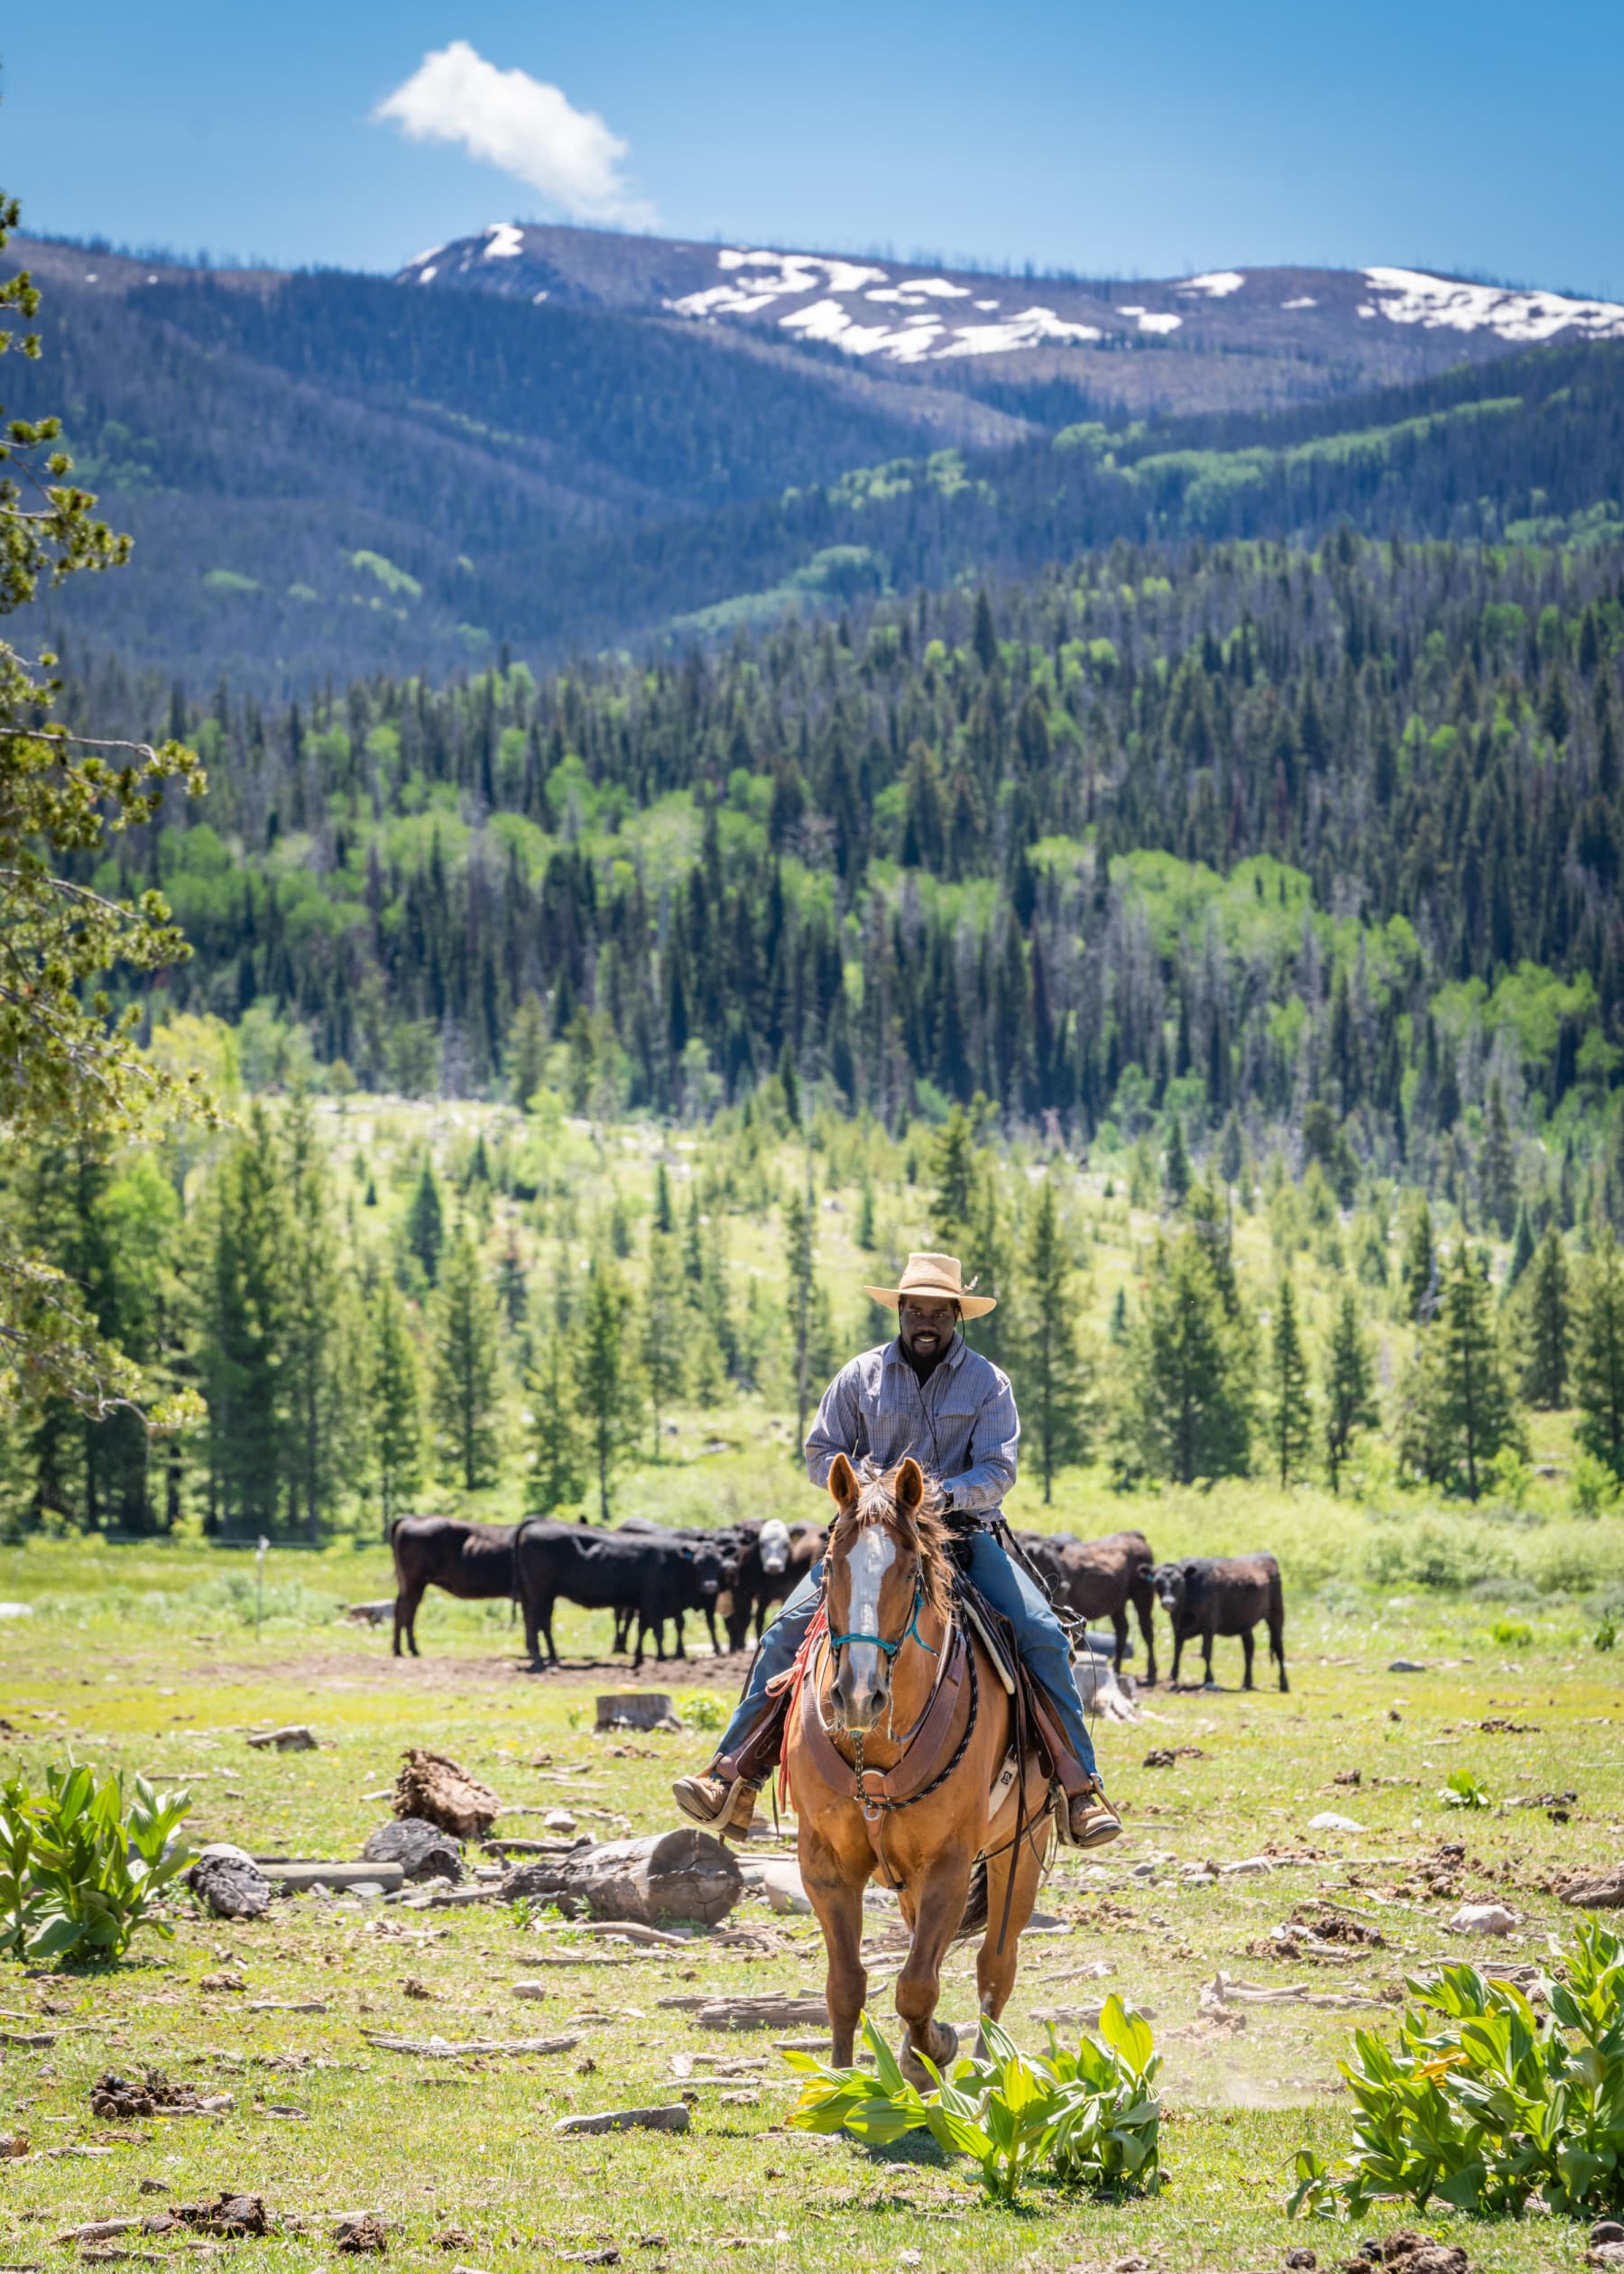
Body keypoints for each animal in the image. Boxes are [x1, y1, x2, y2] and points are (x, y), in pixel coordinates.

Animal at [389, 1516, 519, 1657]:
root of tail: (411, 1518)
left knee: (404, 1610)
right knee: (406, 1611)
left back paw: (402, 1649)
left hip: (409, 1584)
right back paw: (408, 1650)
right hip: (415, 1583)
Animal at [514, 1520, 733, 1671]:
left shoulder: (645, 1604)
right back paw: (540, 1660)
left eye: (718, 1562)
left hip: (539, 1594)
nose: (710, 1586)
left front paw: (639, 1657)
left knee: (539, 1623)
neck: (674, 1560)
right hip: (541, 1593)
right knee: (535, 1622)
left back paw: (552, 1657)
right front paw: (661, 1657)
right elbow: (658, 1630)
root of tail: (534, 1524)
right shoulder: (654, 1601)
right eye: (698, 1563)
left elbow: (642, 1629)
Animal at [1018, 1529, 1159, 1685]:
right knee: (1122, 1629)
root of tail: (1134, 1535)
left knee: (1146, 1630)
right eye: (1047, 1561)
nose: (1064, 1586)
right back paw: (1116, 1668)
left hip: (1143, 1595)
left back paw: (1151, 1674)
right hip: (1119, 1604)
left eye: (1056, 1561)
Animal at [1145, 1554, 1287, 1691]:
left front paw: (1209, 1679)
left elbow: (1206, 1652)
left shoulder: (1209, 1626)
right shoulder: (1178, 1627)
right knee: (1249, 1649)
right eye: (1157, 1582)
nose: (1168, 1602)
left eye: (1179, 1581)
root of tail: (1266, 1555)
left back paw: (1284, 1684)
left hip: (1276, 1614)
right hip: (1245, 1623)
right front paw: (1172, 1676)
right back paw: (1246, 1683)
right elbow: (1177, 1650)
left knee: (1279, 1649)